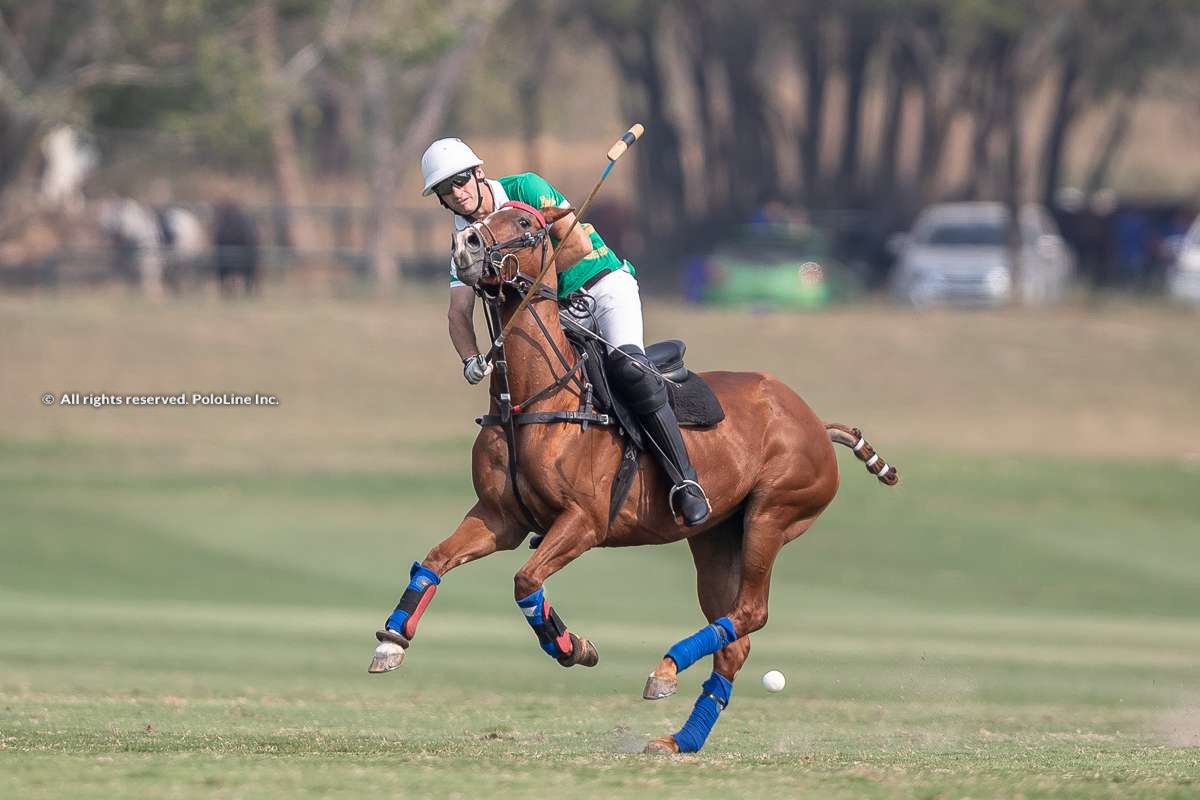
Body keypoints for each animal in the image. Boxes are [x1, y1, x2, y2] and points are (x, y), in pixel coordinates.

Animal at [369, 203, 897, 753]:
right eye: (479, 218)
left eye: (525, 224)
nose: (465, 244)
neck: (534, 400)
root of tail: (816, 421)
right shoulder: (500, 518)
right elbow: (436, 559)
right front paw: (391, 641)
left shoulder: (584, 522)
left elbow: (525, 580)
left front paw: (571, 646)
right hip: (715, 538)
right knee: (735, 637)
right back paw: (680, 736)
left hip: (772, 516)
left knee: (753, 611)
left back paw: (666, 668)